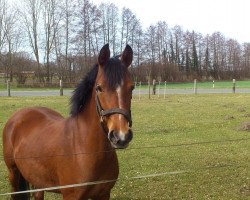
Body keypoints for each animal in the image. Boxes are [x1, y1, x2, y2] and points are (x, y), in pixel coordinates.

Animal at [2, 44, 135, 199]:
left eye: (132, 87)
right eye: (99, 87)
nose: (121, 136)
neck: (83, 148)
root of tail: (18, 116)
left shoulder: (104, 194)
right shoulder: (71, 196)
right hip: (14, 174)